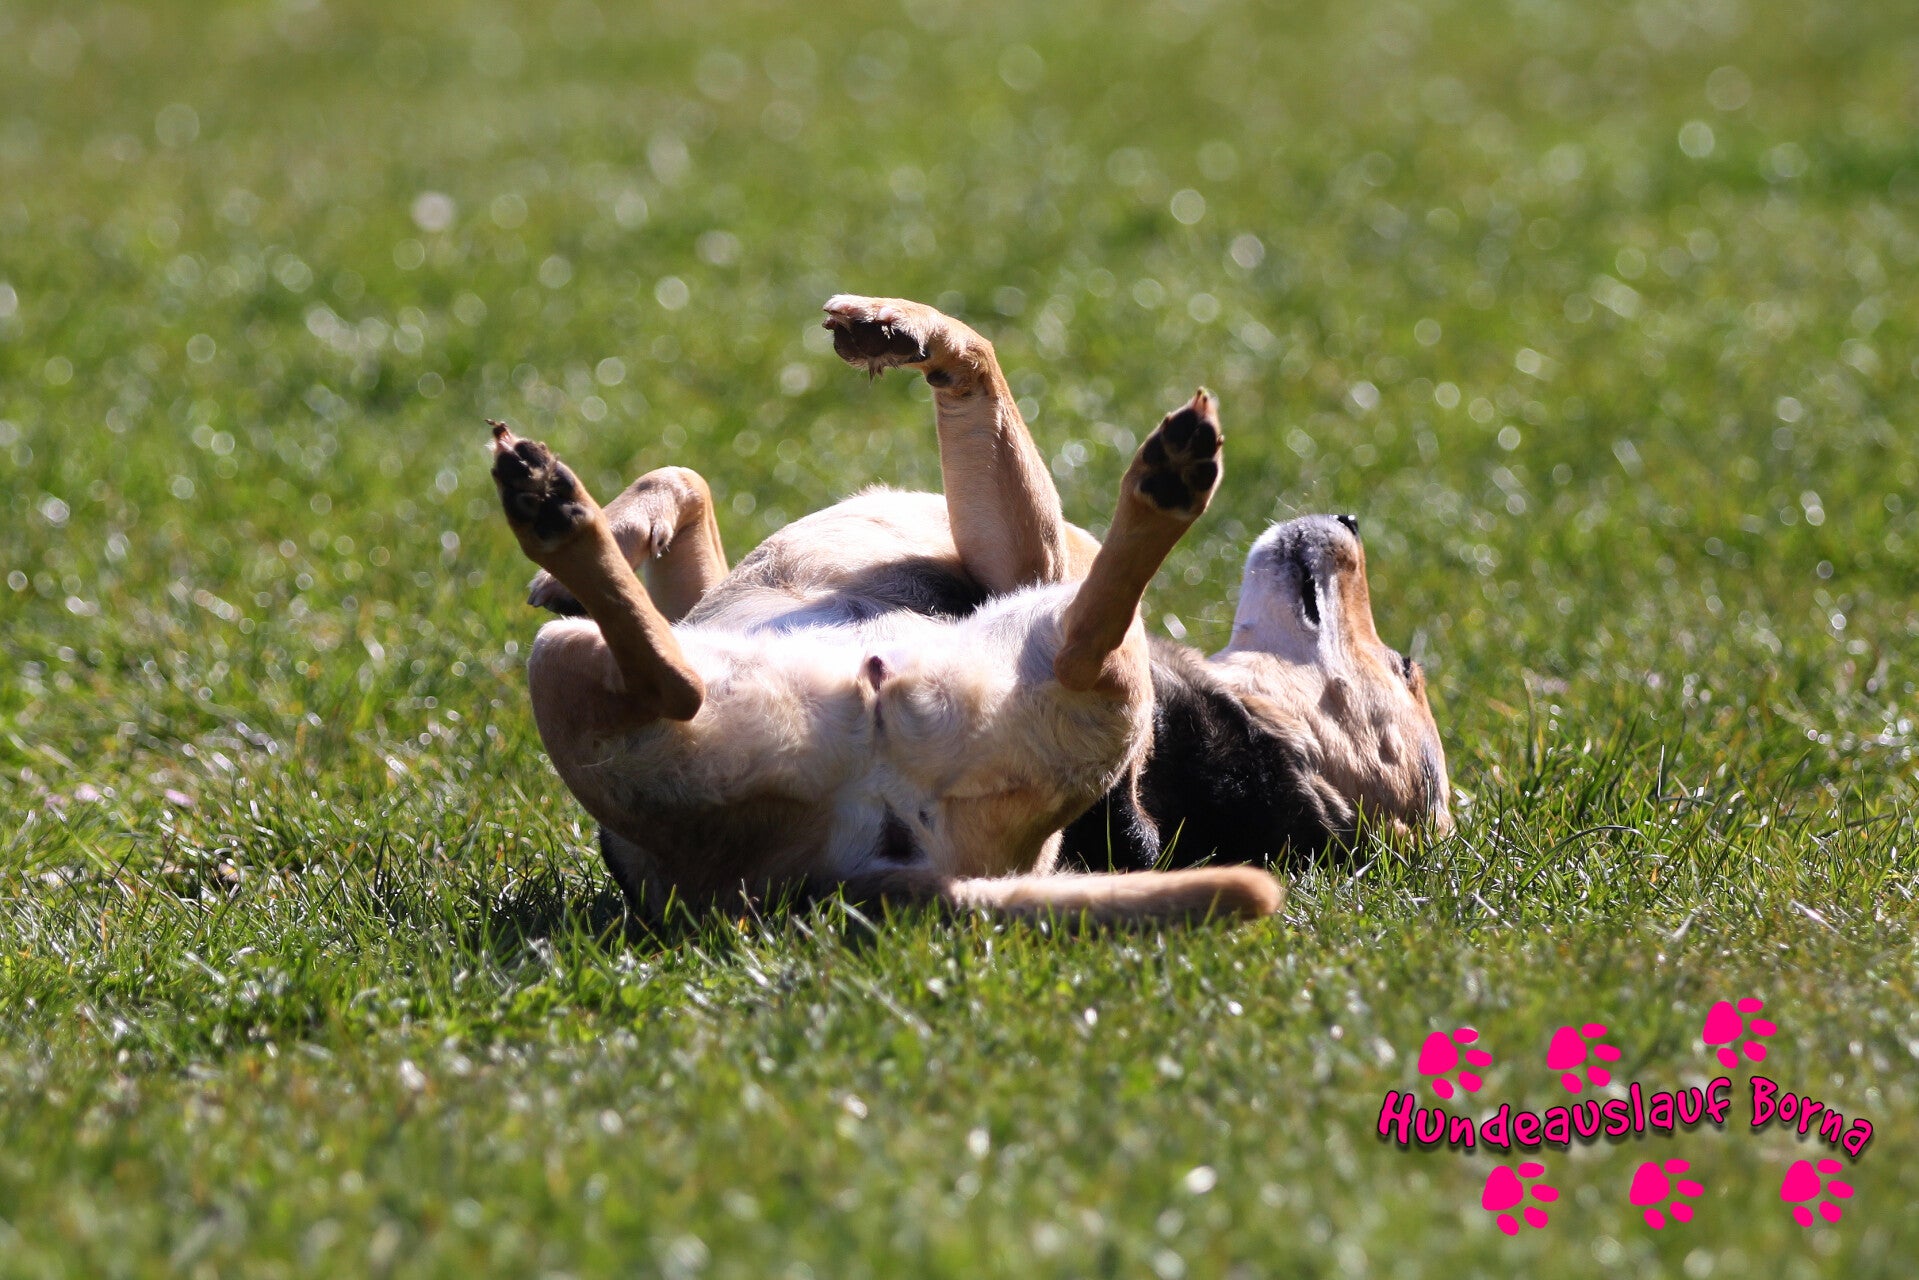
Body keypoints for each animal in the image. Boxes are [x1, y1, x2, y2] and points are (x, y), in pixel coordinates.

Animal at [489, 295, 1447, 924]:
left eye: (1406, 668)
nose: (1349, 520)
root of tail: (856, 875)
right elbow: (686, 484)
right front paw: (621, 529)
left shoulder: (1024, 555)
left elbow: (976, 355)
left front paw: (897, 326)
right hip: (583, 675)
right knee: (662, 668)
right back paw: (563, 530)